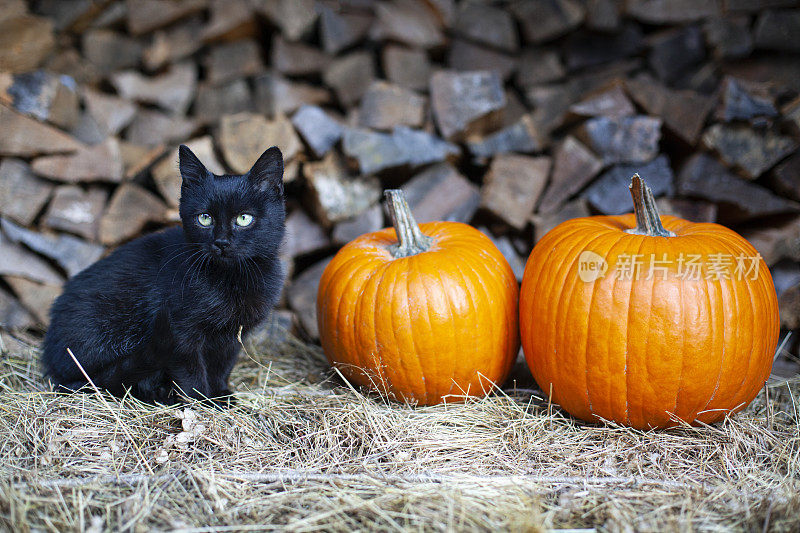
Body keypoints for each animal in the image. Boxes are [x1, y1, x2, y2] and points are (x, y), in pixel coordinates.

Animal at [40, 145, 286, 404]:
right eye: (205, 218)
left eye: (244, 218)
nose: (221, 242)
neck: (230, 279)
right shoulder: (180, 333)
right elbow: (191, 372)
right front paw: (200, 400)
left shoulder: (233, 336)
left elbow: (222, 367)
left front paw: (220, 396)